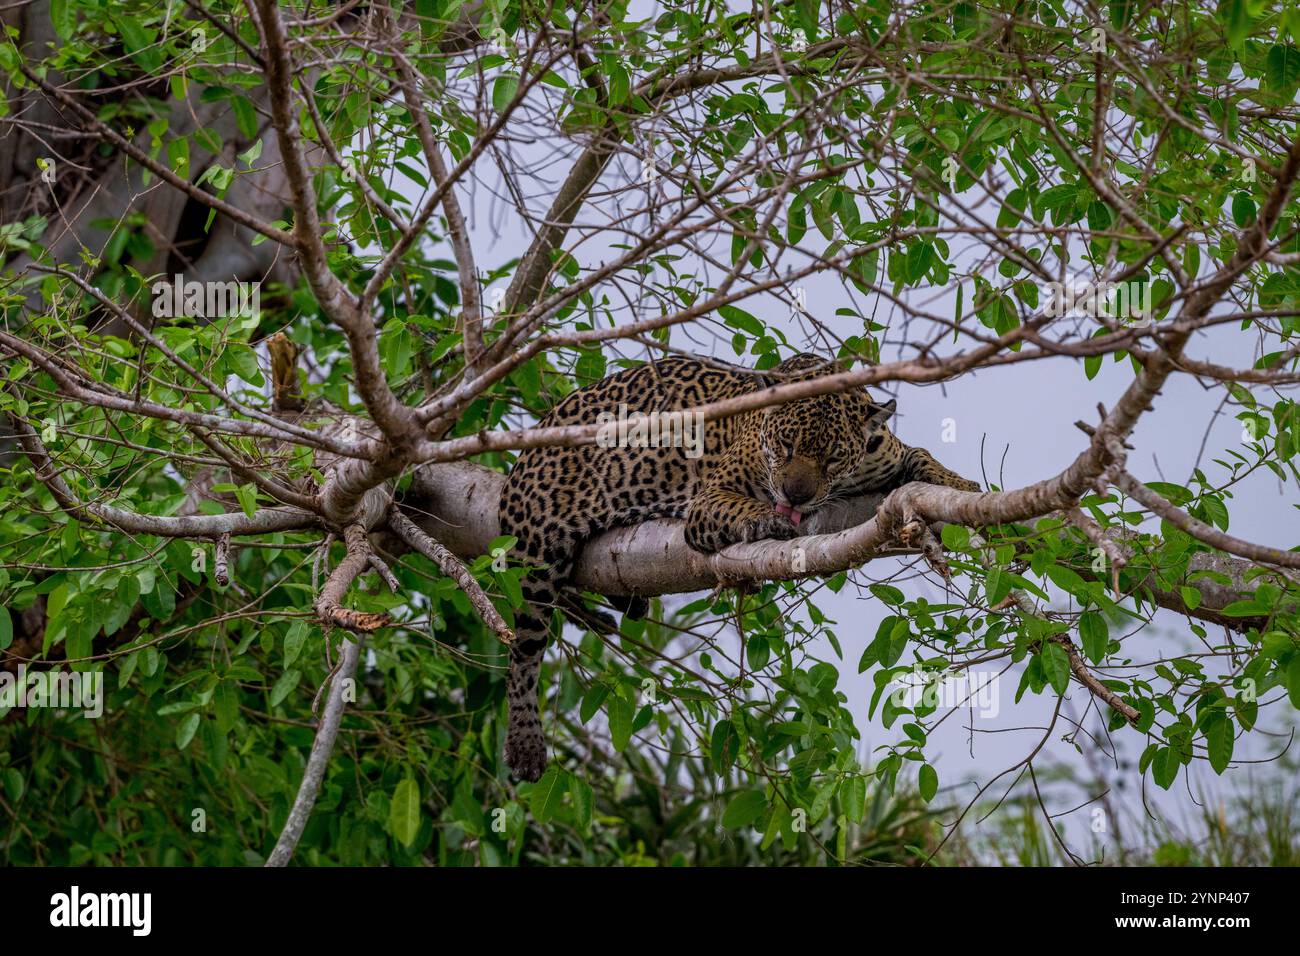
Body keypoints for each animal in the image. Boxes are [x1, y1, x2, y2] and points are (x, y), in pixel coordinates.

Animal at [497, 352, 981, 782]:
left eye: (831, 458)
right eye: (785, 445)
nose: (796, 495)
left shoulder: (890, 454)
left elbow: (922, 457)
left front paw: (960, 483)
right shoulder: (710, 499)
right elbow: (741, 507)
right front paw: (768, 519)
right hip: (534, 553)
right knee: (524, 651)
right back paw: (524, 742)